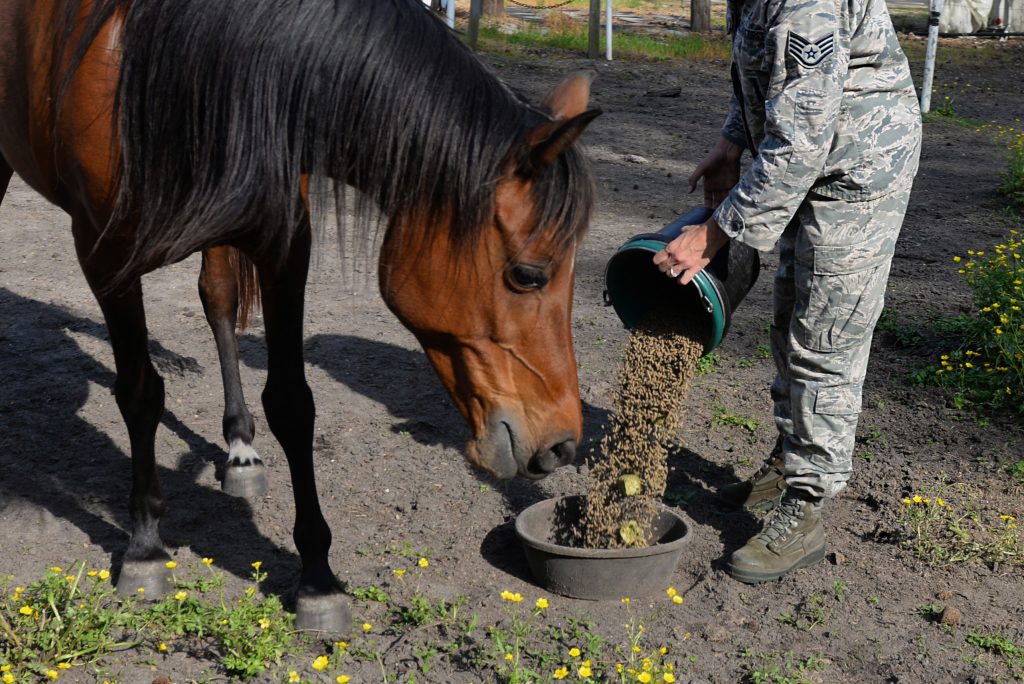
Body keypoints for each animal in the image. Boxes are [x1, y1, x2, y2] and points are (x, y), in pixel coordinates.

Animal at [0, 0, 598, 626]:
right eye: (528, 275)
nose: (563, 446)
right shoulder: (104, 252)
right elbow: (140, 393)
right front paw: (144, 548)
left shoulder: (283, 240)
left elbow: (292, 403)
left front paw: (317, 579)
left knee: (218, 299)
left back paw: (241, 451)